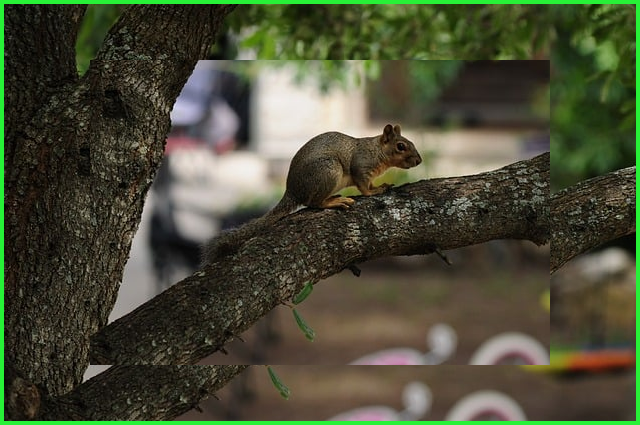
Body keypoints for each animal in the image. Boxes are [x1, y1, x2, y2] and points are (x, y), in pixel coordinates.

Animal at [202, 124, 422, 265]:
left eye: (411, 142)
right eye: (401, 146)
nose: (419, 161)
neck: (377, 151)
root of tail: (292, 191)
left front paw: (381, 184)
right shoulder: (361, 167)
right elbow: (364, 187)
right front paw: (375, 190)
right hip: (328, 170)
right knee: (313, 203)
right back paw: (333, 202)